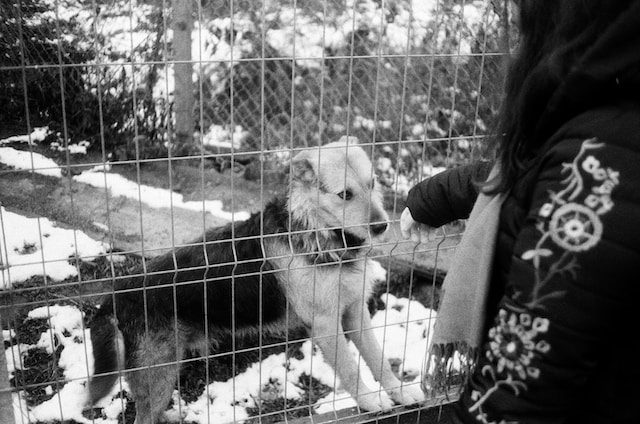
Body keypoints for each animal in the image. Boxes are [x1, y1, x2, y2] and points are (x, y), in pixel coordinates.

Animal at [86, 137, 424, 422]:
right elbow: (351, 368)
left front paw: (398, 390)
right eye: (345, 195)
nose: (382, 226)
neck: (315, 234)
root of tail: (115, 298)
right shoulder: (326, 325)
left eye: (372, 183)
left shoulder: (355, 312)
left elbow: (379, 358)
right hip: (160, 373)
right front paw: (369, 400)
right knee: (144, 417)